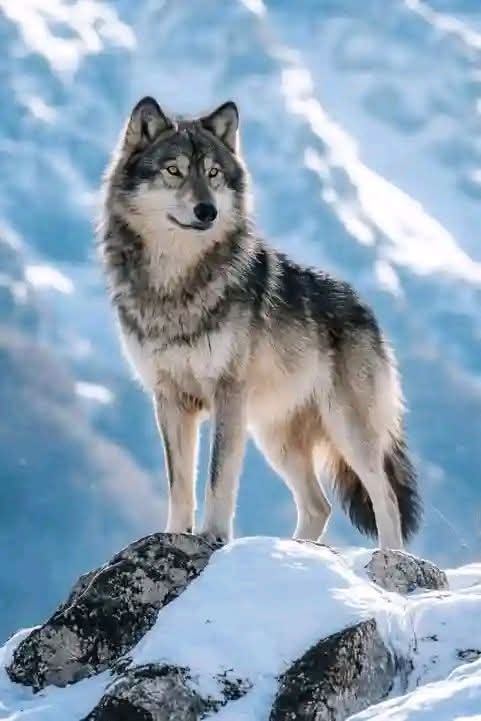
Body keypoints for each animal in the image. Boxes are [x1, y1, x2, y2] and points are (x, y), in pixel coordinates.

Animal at [99, 96, 421, 549]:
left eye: (213, 173)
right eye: (174, 170)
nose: (207, 211)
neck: (176, 284)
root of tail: (366, 308)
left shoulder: (228, 394)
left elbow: (218, 477)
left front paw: (214, 536)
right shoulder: (170, 398)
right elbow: (179, 484)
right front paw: (174, 535)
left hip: (347, 430)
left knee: (385, 496)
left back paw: (389, 557)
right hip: (275, 437)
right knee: (319, 505)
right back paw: (295, 551)